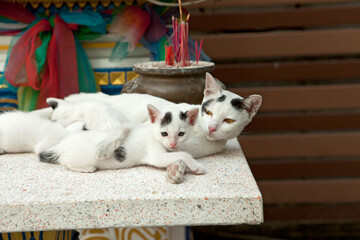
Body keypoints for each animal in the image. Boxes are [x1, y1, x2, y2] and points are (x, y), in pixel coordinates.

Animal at [38, 104, 205, 175]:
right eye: (164, 133)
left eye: (181, 134)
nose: (172, 143)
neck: (151, 133)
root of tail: (63, 144)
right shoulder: (154, 155)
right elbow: (183, 154)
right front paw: (197, 167)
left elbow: (179, 152)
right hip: (78, 157)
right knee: (65, 160)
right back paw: (86, 168)